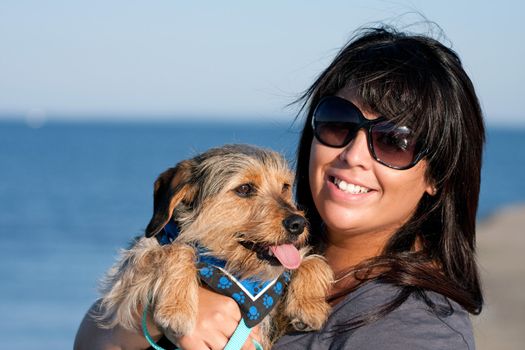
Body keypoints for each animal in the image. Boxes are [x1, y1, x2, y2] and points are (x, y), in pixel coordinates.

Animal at [95, 144, 332, 348]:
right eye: (244, 188)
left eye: (285, 187)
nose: (299, 224)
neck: (232, 271)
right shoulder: (123, 285)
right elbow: (176, 248)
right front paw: (176, 309)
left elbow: (309, 261)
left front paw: (308, 306)